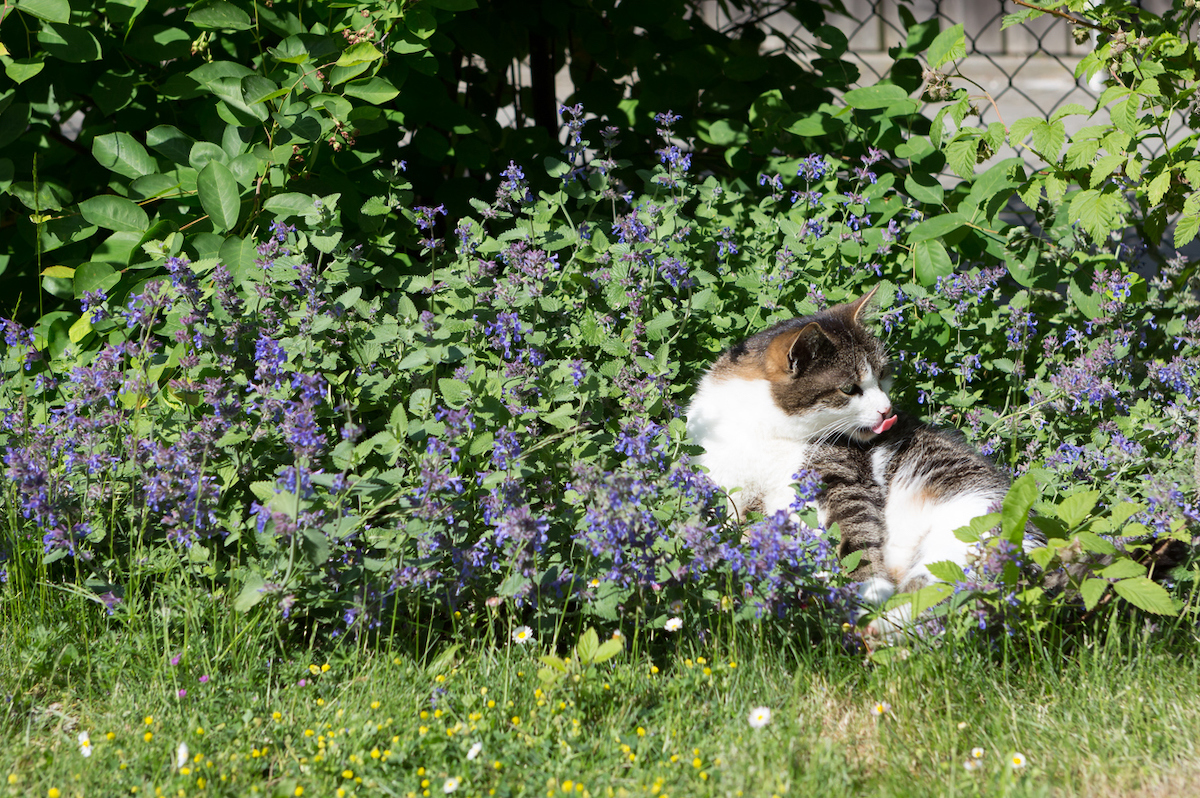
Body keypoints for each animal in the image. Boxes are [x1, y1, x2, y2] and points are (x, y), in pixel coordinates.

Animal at [691, 286, 1036, 633]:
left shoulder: (840, 475)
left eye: (882, 375)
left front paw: (869, 591)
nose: (887, 410)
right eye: (848, 389)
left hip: (966, 528)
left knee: (939, 599)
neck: (765, 431)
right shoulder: (719, 475)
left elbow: (854, 534)